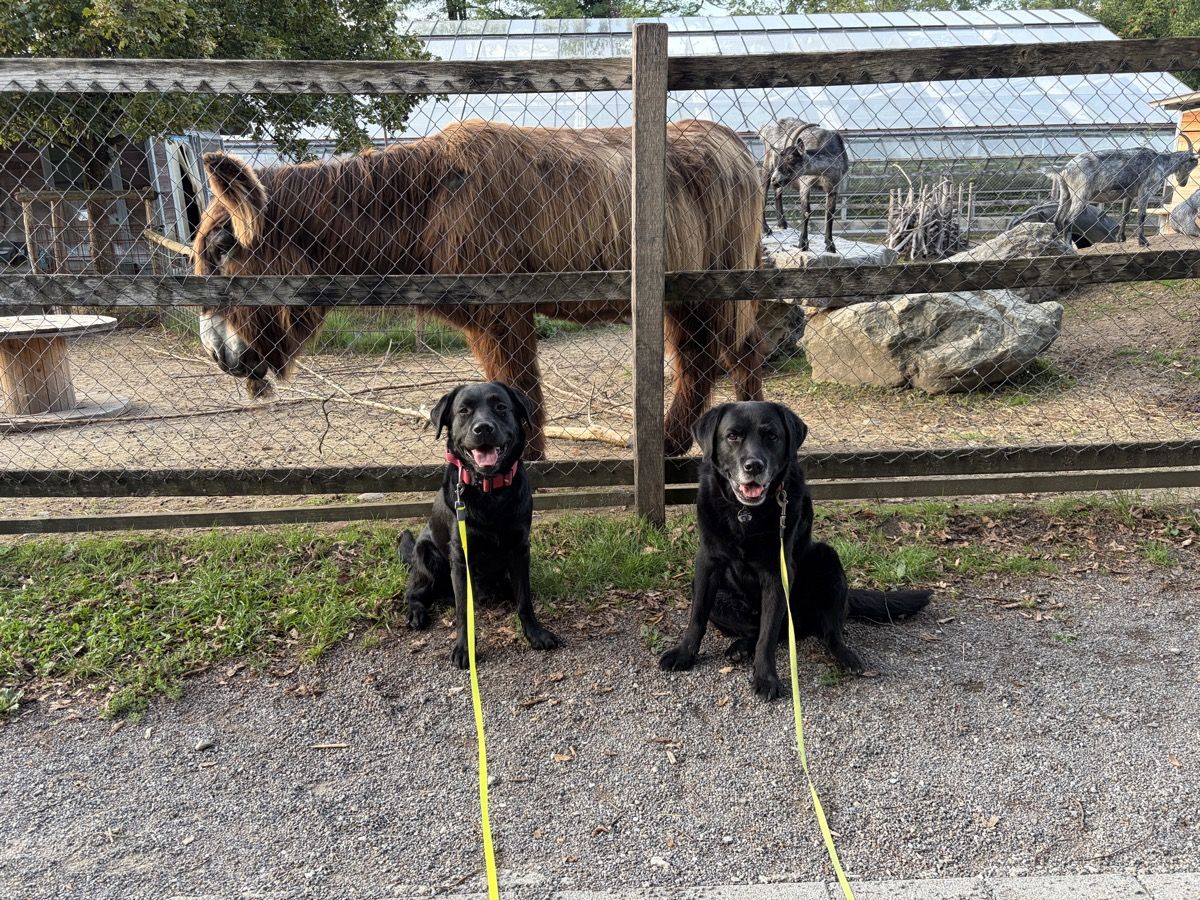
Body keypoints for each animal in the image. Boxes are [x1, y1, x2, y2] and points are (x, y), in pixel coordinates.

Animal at [760, 119, 851, 253]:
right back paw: (765, 228)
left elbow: (830, 214)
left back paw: (782, 223)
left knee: (778, 191)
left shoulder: (833, 188)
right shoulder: (805, 184)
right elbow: (806, 211)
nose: (774, 179)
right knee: (763, 192)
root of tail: (768, 129)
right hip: (768, 164)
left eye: (791, 158)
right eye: (780, 157)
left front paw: (830, 245)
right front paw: (802, 244)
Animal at [1048, 138, 1197, 247]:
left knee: (1058, 219)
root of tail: (1065, 168)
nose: (1183, 183)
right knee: (1068, 220)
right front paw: (1143, 241)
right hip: (1081, 194)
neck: (1161, 162)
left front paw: (1121, 238)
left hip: (1066, 194)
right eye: (1191, 165)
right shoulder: (1145, 190)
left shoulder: (1129, 195)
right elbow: (1141, 215)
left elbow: (1125, 215)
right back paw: (1068, 246)